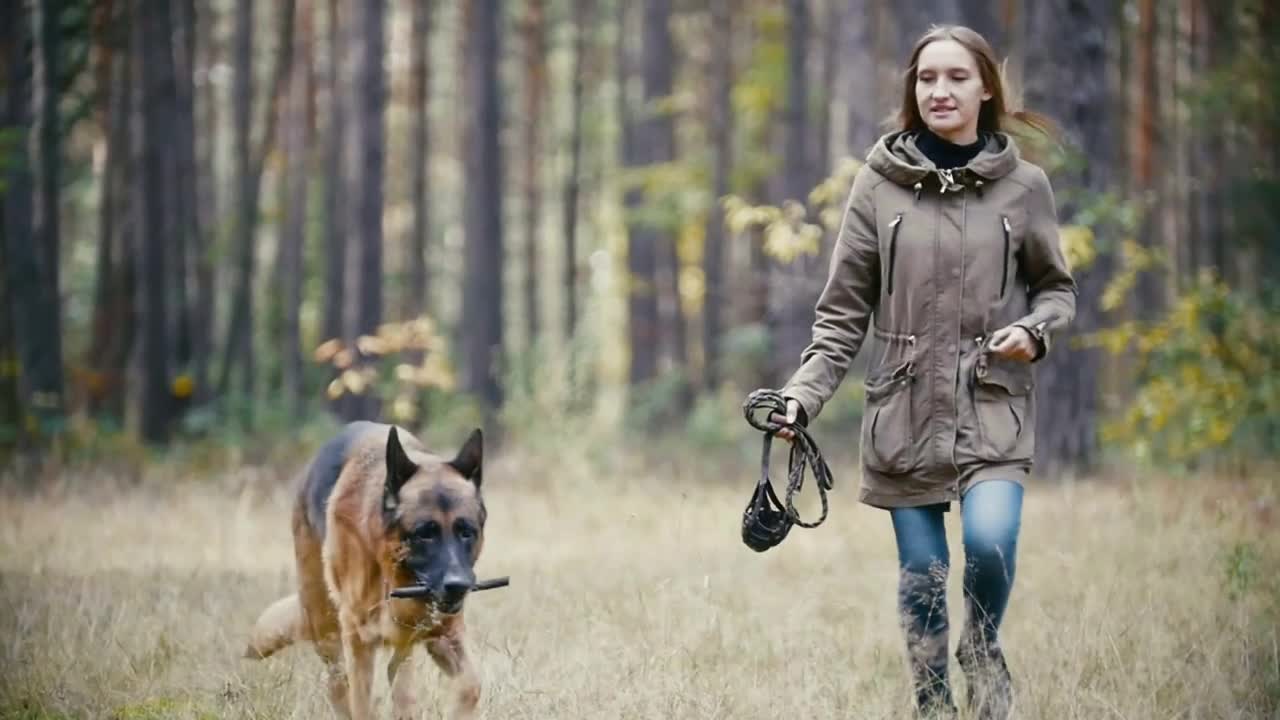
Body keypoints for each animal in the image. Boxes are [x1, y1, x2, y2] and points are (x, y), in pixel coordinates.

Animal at [247, 420, 486, 717]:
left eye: (467, 532)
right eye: (424, 534)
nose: (458, 586)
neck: (394, 578)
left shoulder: (445, 634)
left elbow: (471, 686)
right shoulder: (359, 642)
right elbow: (364, 704)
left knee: (398, 677)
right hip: (327, 629)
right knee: (340, 687)